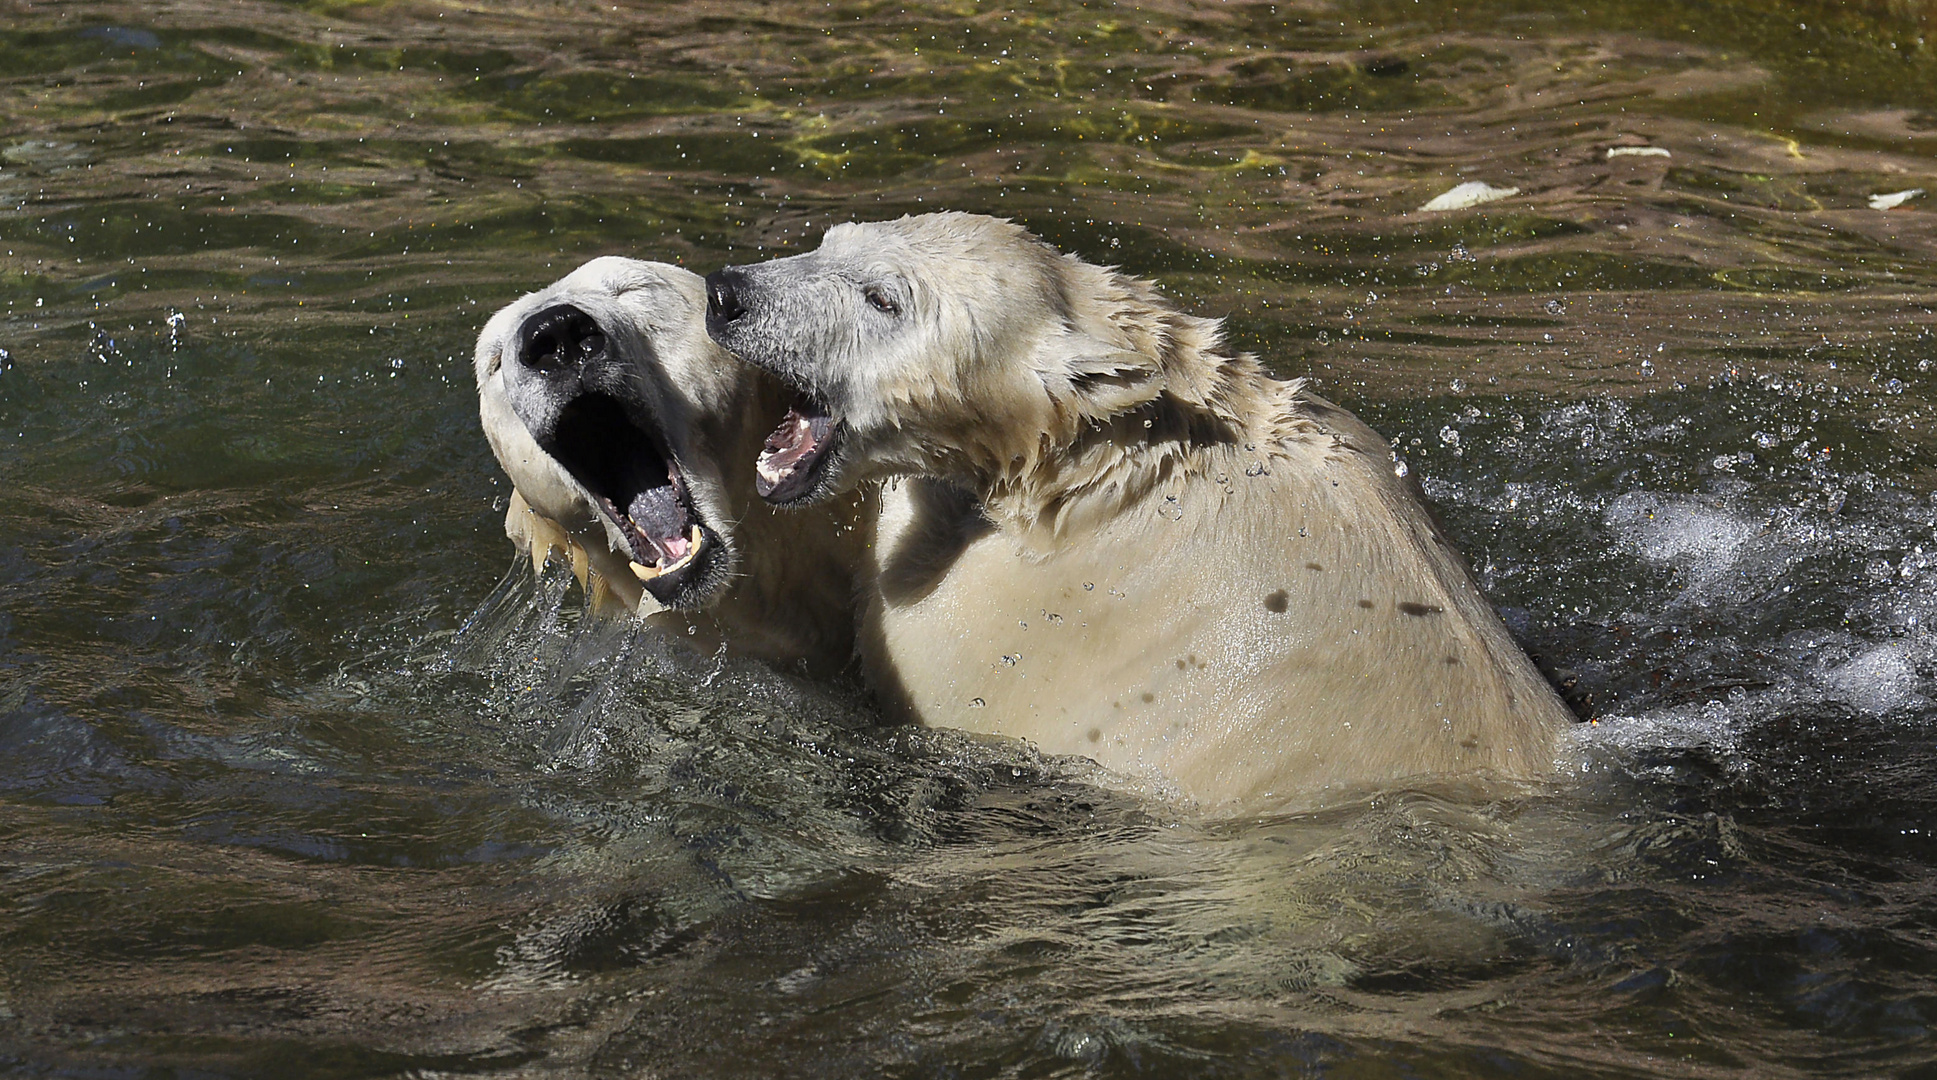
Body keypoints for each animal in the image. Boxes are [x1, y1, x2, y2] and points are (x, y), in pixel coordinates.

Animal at [705, 213, 1580, 812]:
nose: (727, 294)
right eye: (828, 241)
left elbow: (913, 628)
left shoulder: (1045, 609)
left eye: (883, 298)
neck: (1111, 455)